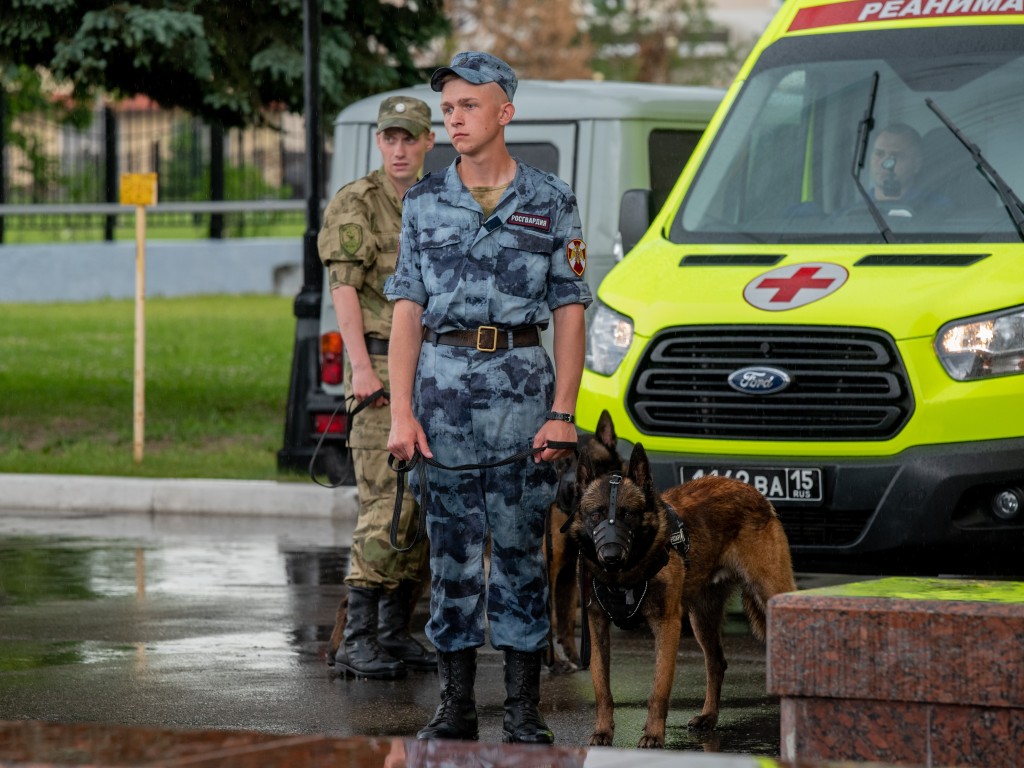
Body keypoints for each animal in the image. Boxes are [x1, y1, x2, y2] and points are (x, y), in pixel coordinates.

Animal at [569, 442, 798, 749]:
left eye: (628, 514)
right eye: (595, 514)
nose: (611, 556)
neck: (624, 575)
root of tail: (751, 490)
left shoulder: (667, 625)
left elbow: (659, 689)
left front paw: (654, 734)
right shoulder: (597, 627)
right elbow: (601, 688)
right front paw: (603, 731)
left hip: (772, 593)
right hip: (702, 619)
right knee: (716, 663)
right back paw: (709, 717)